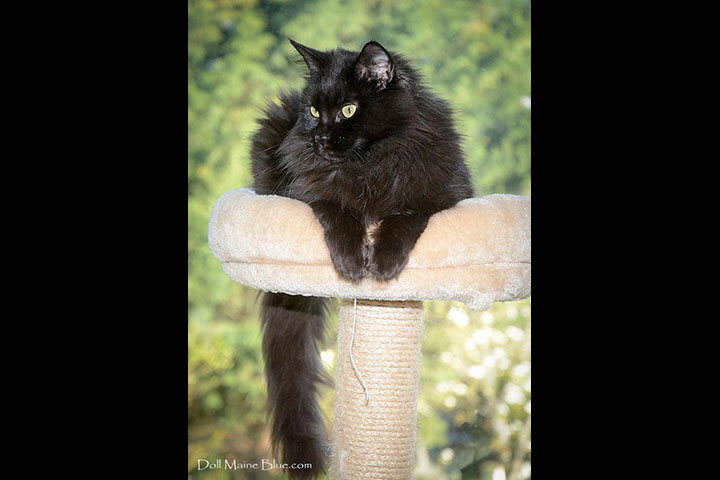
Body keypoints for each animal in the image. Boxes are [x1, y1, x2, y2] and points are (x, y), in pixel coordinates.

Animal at [250, 39, 473, 478]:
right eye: (314, 110)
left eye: (349, 109)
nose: (320, 136)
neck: (368, 165)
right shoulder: (306, 194)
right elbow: (339, 212)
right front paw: (353, 263)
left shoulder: (440, 194)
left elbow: (404, 216)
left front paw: (383, 264)